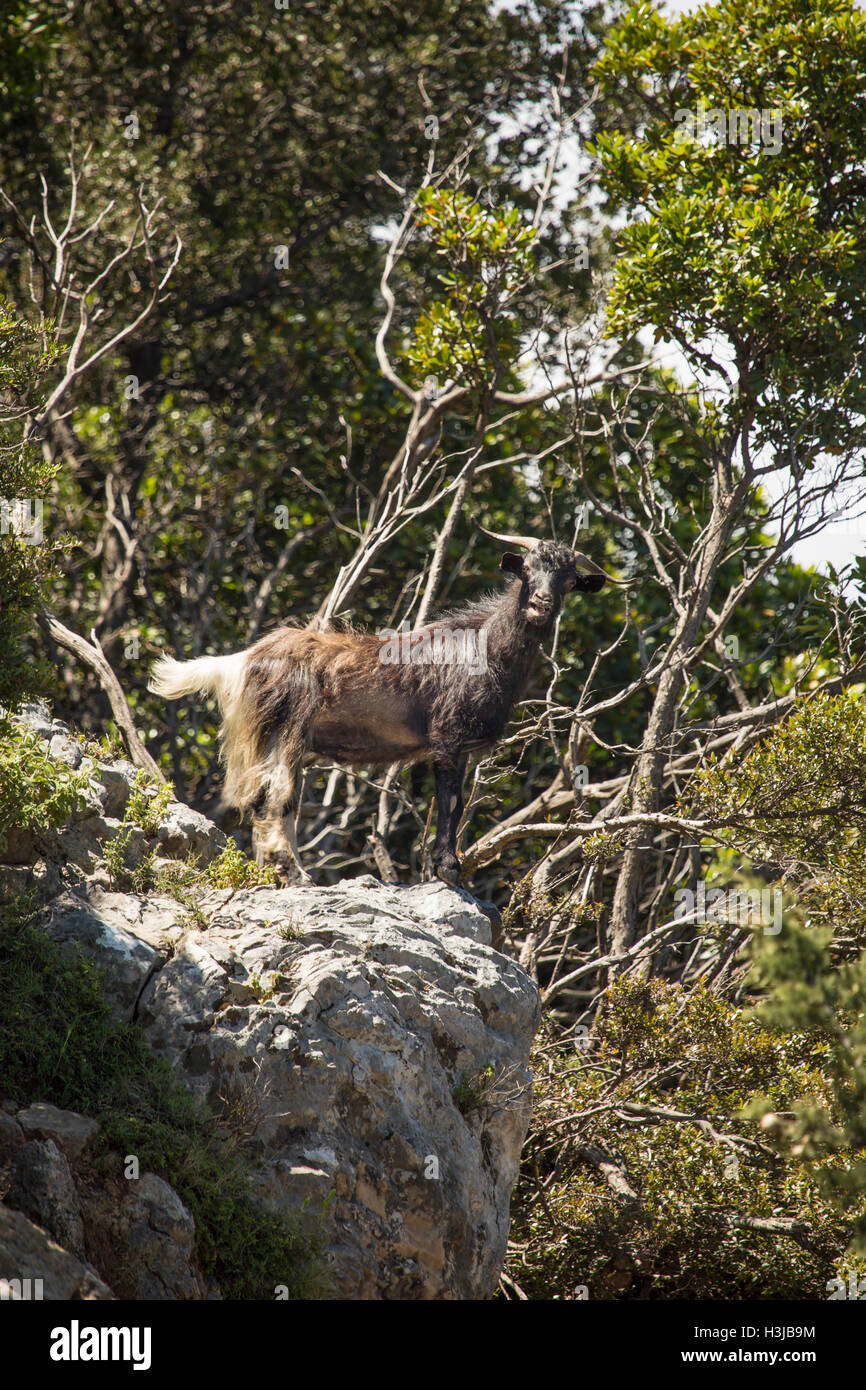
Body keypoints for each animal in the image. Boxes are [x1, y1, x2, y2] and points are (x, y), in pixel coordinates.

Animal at [148, 525, 622, 884]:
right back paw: (296, 875)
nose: (541, 604)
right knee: (271, 798)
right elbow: (449, 803)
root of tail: (245, 659)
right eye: (527, 570)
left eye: (568, 580)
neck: (486, 648)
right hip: (285, 728)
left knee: (277, 801)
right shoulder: (447, 737)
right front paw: (449, 869)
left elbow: (453, 804)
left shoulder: (463, 748)